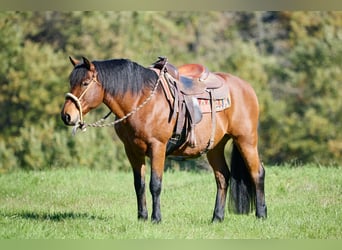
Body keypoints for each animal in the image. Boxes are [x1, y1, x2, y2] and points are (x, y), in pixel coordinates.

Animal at [60, 56, 268, 223]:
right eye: (71, 82)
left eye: (85, 83)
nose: (66, 116)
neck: (140, 100)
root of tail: (246, 87)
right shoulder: (132, 150)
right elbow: (139, 184)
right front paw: (142, 217)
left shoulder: (157, 147)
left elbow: (155, 184)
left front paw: (156, 218)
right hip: (215, 146)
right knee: (223, 177)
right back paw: (217, 217)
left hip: (246, 140)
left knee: (257, 173)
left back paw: (261, 214)